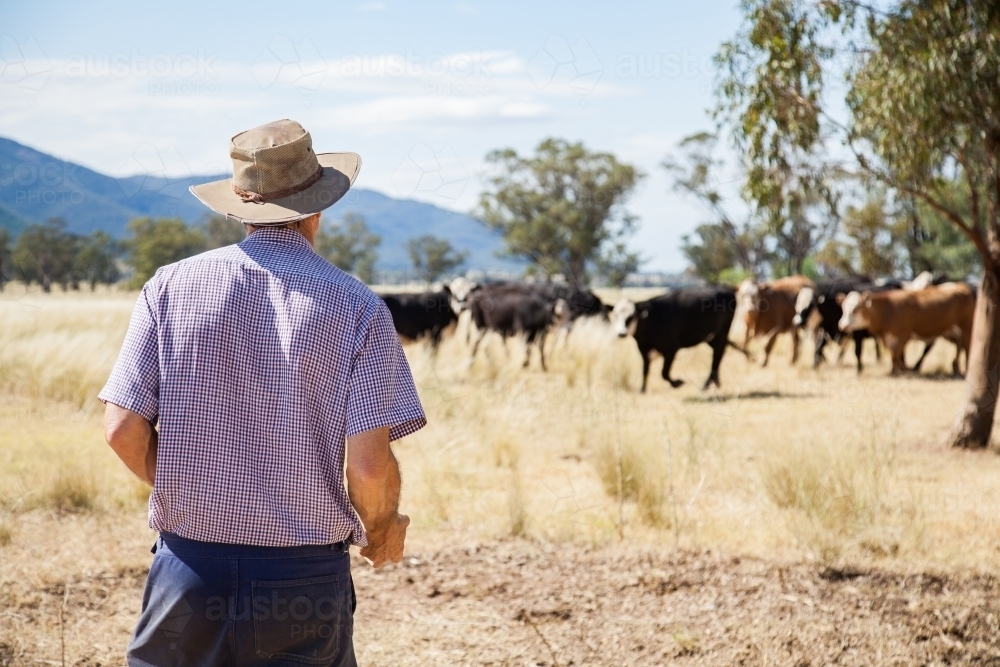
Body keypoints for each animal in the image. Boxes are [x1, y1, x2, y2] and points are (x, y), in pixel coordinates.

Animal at [608, 286, 744, 392]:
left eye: (631, 316)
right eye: (616, 315)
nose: (621, 333)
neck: (650, 319)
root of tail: (725, 288)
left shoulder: (671, 349)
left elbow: (664, 373)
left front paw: (677, 383)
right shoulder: (644, 350)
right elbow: (645, 370)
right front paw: (642, 390)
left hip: (721, 334)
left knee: (717, 355)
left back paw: (706, 385)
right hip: (711, 338)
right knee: (719, 355)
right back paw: (716, 382)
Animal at [836, 282, 976, 376]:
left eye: (855, 309)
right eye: (843, 308)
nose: (842, 325)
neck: (888, 309)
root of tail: (962, 287)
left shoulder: (903, 335)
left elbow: (895, 355)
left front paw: (900, 371)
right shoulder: (888, 337)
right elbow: (893, 354)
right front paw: (895, 371)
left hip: (966, 329)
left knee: (968, 349)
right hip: (954, 332)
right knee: (959, 347)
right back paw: (956, 368)